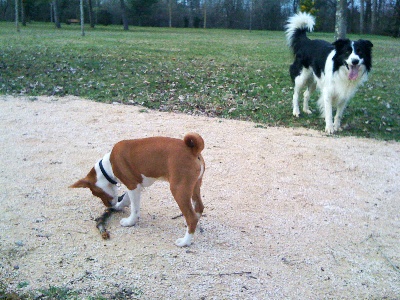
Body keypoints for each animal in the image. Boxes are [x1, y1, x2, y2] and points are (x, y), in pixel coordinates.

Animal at [69, 133, 205, 246]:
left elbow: (134, 208)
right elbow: (125, 199)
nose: (108, 205)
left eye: (96, 193)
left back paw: (185, 242)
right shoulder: (134, 184)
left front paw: (130, 222)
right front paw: (118, 207)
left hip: (179, 189)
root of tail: (192, 150)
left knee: (191, 217)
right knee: (198, 208)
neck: (109, 165)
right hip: (194, 186)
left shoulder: (132, 186)